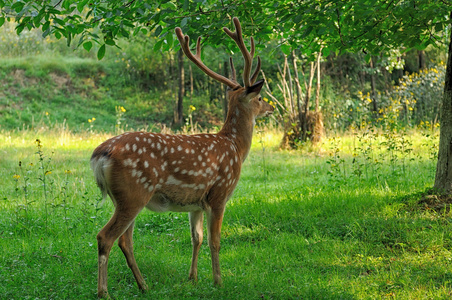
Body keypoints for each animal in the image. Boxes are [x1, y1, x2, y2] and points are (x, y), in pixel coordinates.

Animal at [91, 18, 272, 298]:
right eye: (261, 97)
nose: (272, 108)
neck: (235, 147)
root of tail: (101, 155)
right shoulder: (219, 193)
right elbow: (215, 240)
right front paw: (218, 281)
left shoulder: (195, 203)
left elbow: (196, 238)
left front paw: (193, 278)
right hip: (134, 192)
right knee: (106, 237)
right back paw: (104, 292)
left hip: (124, 198)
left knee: (124, 240)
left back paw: (143, 285)